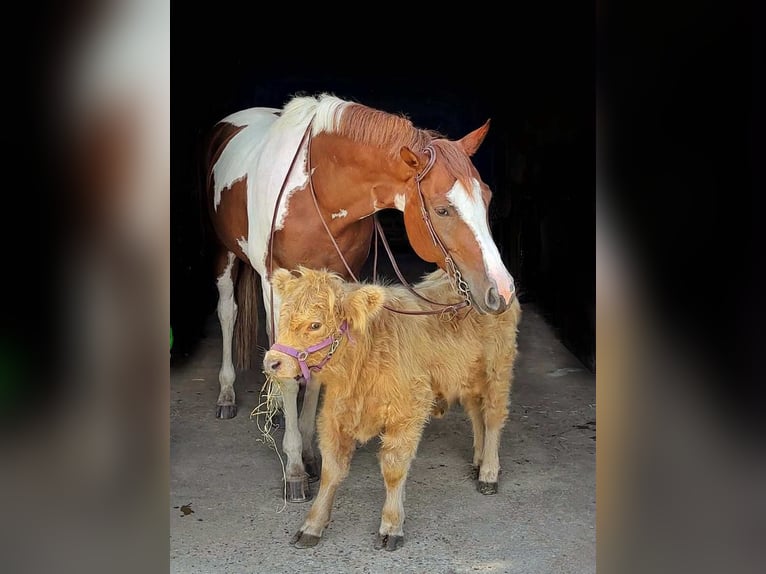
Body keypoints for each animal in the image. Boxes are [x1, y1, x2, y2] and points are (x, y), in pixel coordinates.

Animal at [203, 93, 516, 501]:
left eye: (488, 198)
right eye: (442, 209)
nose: (502, 289)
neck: (316, 189)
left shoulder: (332, 285)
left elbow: (316, 367)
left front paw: (309, 452)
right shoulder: (274, 283)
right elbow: (287, 372)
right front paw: (294, 469)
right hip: (225, 253)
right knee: (228, 312)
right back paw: (226, 393)